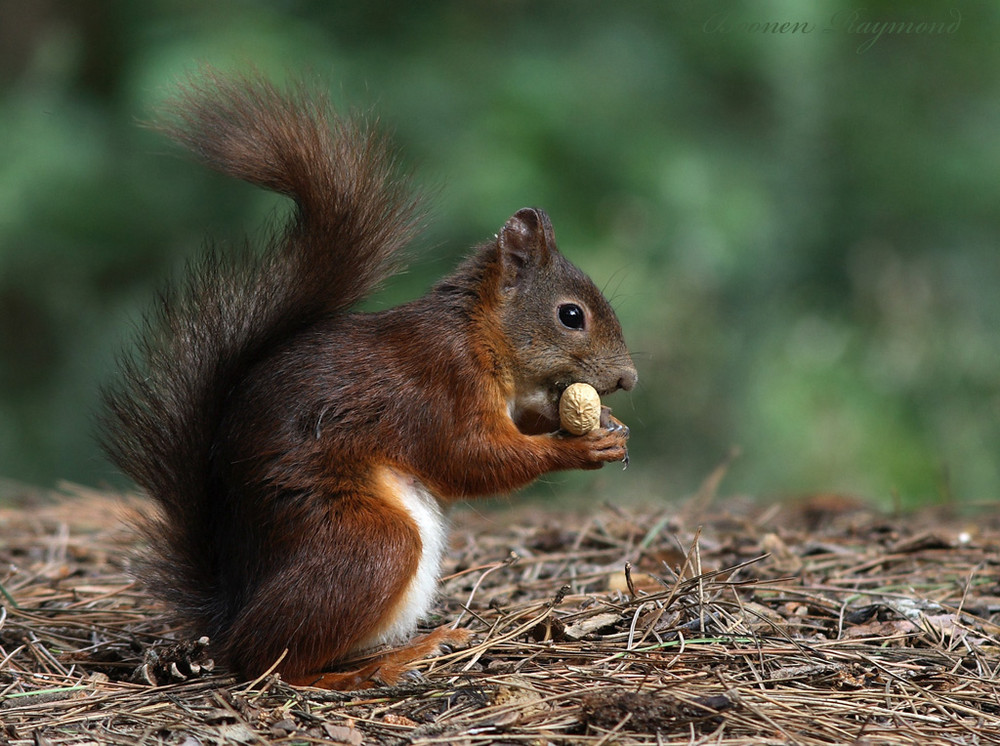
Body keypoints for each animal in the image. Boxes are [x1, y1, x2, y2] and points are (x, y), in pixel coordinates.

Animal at [99, 72, 632, 688]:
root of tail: (229, 607)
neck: (479, 336)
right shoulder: (439, 383)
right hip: (366, 544)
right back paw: (377, 666)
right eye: (571, 315)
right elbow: (468, 458)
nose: (629, 378)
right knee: (271, 661)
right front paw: (579, 447)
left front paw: (607, 424)